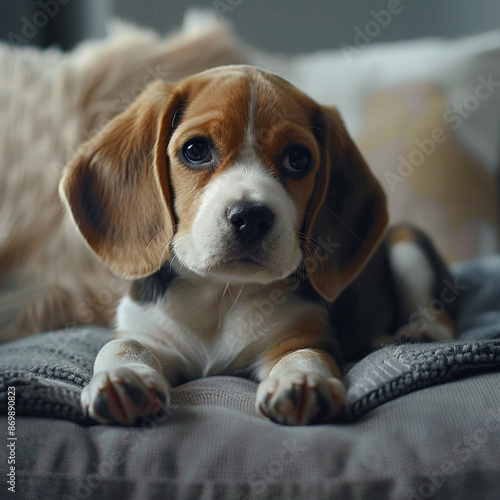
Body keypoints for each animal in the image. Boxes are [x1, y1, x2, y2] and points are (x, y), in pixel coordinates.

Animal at [59, 65, 458, 426]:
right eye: (195, 150)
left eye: (298, 159)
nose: (250, 217)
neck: (219, 293)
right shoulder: (147, 332)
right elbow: (123, 345)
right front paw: (122, 377)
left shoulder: (302, 335)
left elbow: (304, 354)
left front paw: (301, 380)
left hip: (406, 243)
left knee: (441, 318)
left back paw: (416, 334)